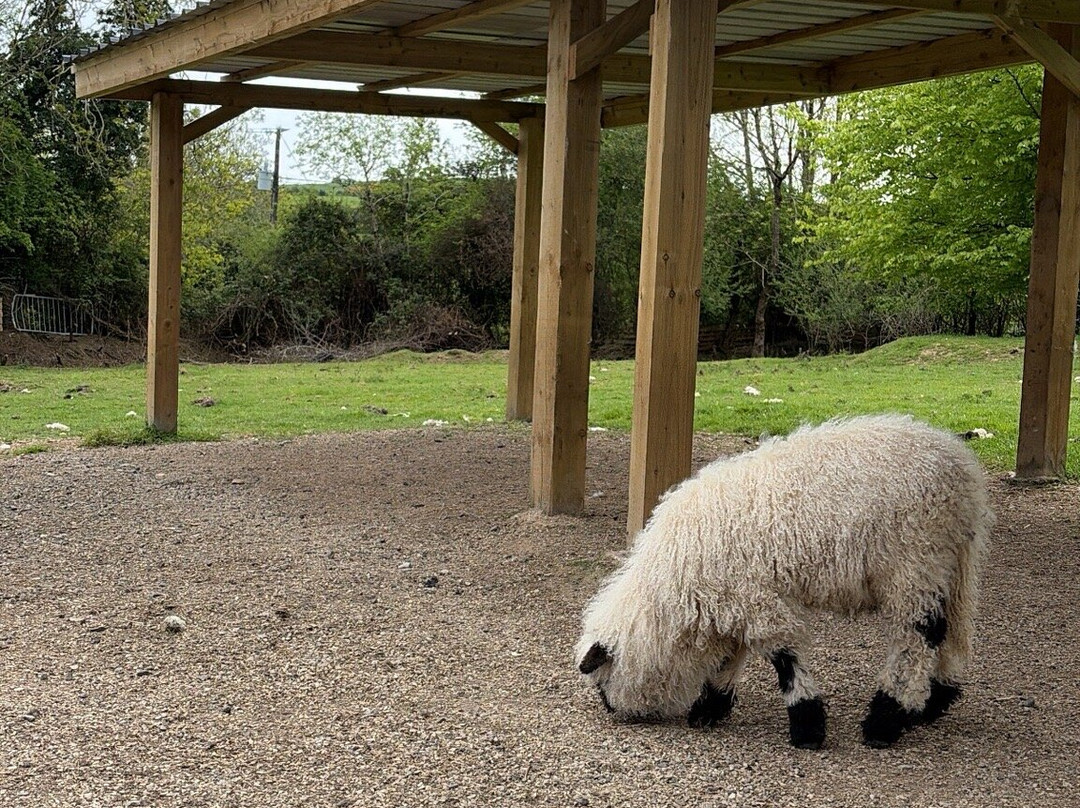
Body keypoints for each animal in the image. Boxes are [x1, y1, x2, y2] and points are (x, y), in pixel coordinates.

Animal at [576, 414, 992, 749]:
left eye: (601, 678)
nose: (611, 709)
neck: (672, 587)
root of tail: (962, 468)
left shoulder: (754, 597)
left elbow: (782, 656)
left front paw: (807, 726)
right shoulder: (733, 598)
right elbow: (730, 654)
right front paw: (710, 707)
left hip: (914, 561)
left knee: (917, 637)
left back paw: (886, 719)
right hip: (948, 565)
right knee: (951, 629)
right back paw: (933, 702)